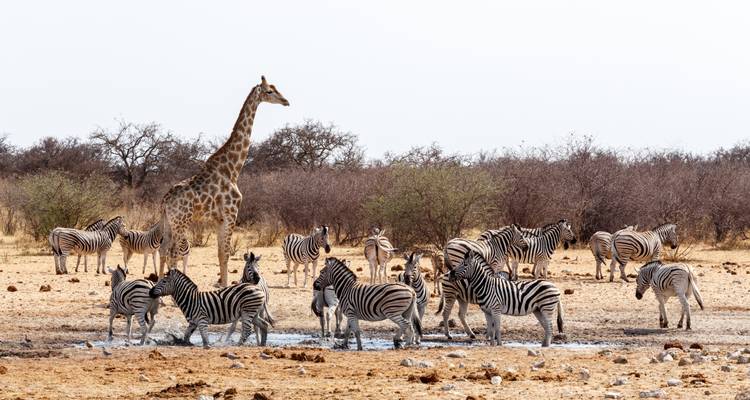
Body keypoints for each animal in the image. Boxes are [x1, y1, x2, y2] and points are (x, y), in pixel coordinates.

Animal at [159, 76, 289, 286]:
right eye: (270, 91)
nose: (286, 101)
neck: (233, 169)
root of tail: (165, 201)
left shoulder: (220, 218)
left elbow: (220, 254)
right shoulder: (231, 214)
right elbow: (226, 254)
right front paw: (226, 287)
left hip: (168, 222)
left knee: (163, 250)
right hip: (181, 222)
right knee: (174, 253)